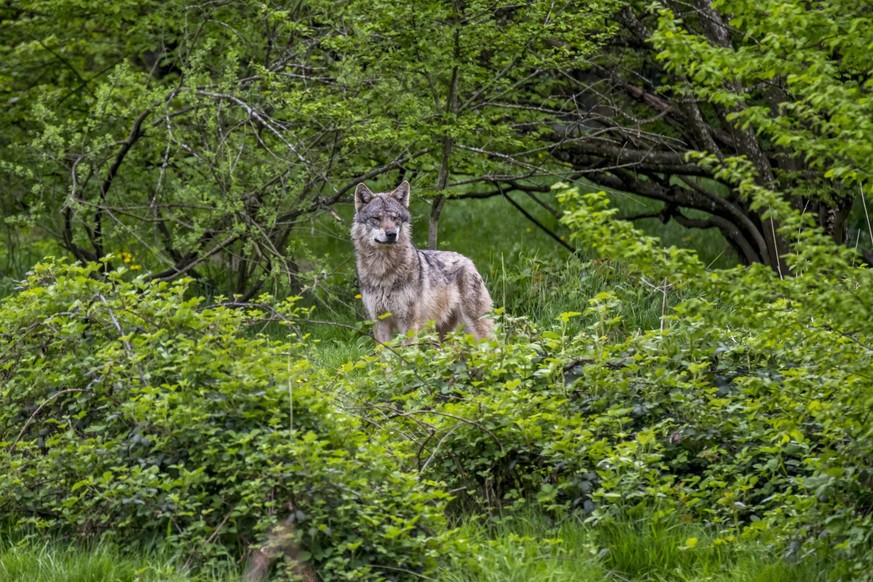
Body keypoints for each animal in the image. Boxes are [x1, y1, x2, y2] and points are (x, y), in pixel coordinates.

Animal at [351, 181, 493, 343]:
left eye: (395, 218)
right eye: (376, 218)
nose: (392, 234)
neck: (382, 269)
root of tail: (468, 260)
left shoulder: (409, 322)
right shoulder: (379, 322)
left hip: (475, 329)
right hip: (443, 335)